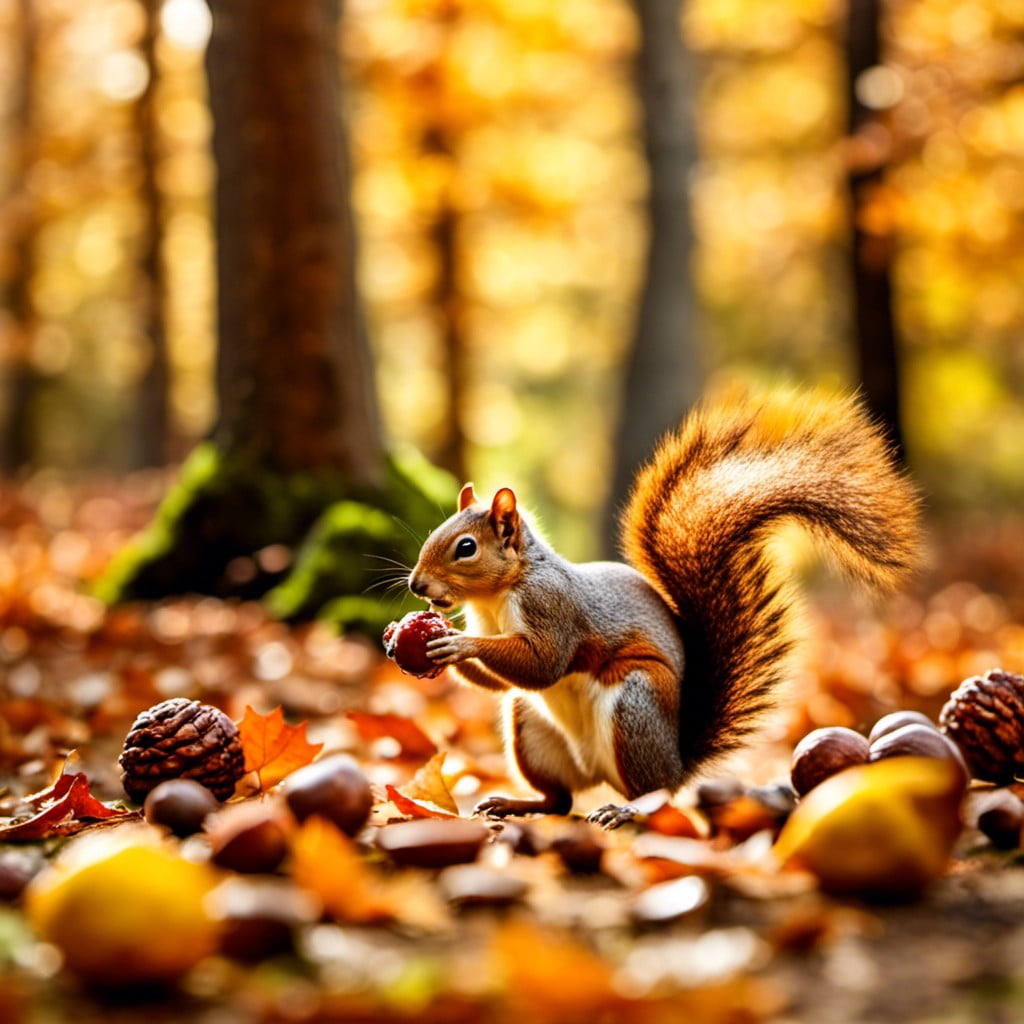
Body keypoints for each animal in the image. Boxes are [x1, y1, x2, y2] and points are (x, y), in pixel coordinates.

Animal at [411, 385, 925, 823]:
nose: (416, 586)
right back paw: (518, 804)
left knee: (655, 795)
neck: (498, 596)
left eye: (465, 548)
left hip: (636, 705)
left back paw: (625, 810)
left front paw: (457, 644)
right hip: (531, 728)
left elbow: (544, 664)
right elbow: (502, 681)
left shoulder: (553, 606)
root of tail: (676, 763)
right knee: (560, 800)